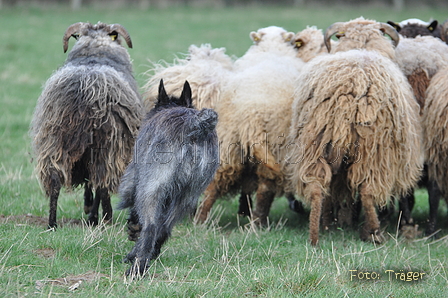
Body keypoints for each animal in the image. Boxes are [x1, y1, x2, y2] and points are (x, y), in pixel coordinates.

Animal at [30, 22, 143, 228]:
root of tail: (85, 93)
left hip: (55, 140)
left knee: (55, 180)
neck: (94, 53)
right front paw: (92, 212)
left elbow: (88, 183)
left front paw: (88, 207)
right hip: (108, 145)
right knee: (103, 182)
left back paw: (52, 223)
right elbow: (95, 184)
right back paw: (106, 217)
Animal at [117, 79, 219, 278]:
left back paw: (137, 266)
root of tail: (195, 125)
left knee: (151, 227)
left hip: (151, 189)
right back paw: (147, 255)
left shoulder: (135, 178)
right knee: (164, 227)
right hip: (187, 197)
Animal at [196, 25, 304, 225]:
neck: (271, 48)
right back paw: (259, 222)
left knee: (214, 182)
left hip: (228, 143)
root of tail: (249, 114)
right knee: (266, 186)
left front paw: (243, 208)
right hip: (274, 144)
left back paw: (200, 220)